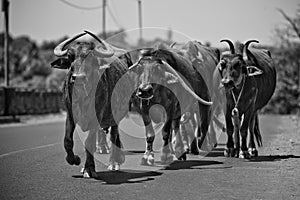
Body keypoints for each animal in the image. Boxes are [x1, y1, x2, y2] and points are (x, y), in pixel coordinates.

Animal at [50, 30, 132, 177]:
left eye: (91, 58)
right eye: (70, 56)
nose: (78, 77)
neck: (83, 96)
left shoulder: (96, 116)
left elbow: (89, 142)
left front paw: (89, 168)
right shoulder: (70, 114)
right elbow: (67, 140)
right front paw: (74, 159)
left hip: (116, 116)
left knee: (114, 135)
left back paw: (113, 162)